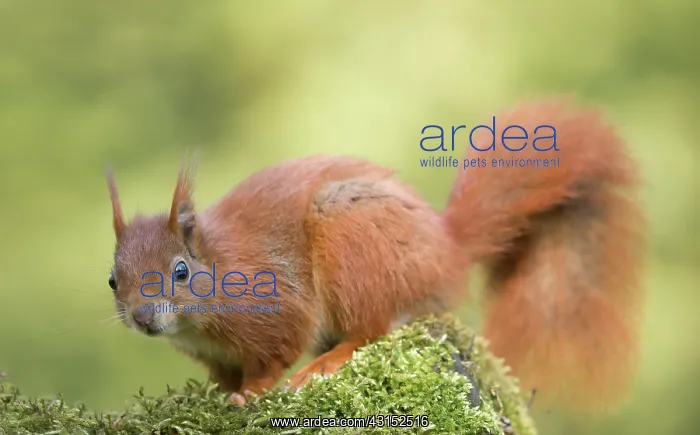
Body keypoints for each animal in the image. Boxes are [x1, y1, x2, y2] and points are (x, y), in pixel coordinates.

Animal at [106, 98, 645, 410]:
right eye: (113, 280)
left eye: (180, 271)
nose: (143, 318)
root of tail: (446, 249)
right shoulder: (210, 354)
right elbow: (220, 375)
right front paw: (217, 393)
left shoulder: (276, 304)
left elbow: (274, 354)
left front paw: (249, 393)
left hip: (352, 241)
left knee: (371, 328)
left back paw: (326, 362)